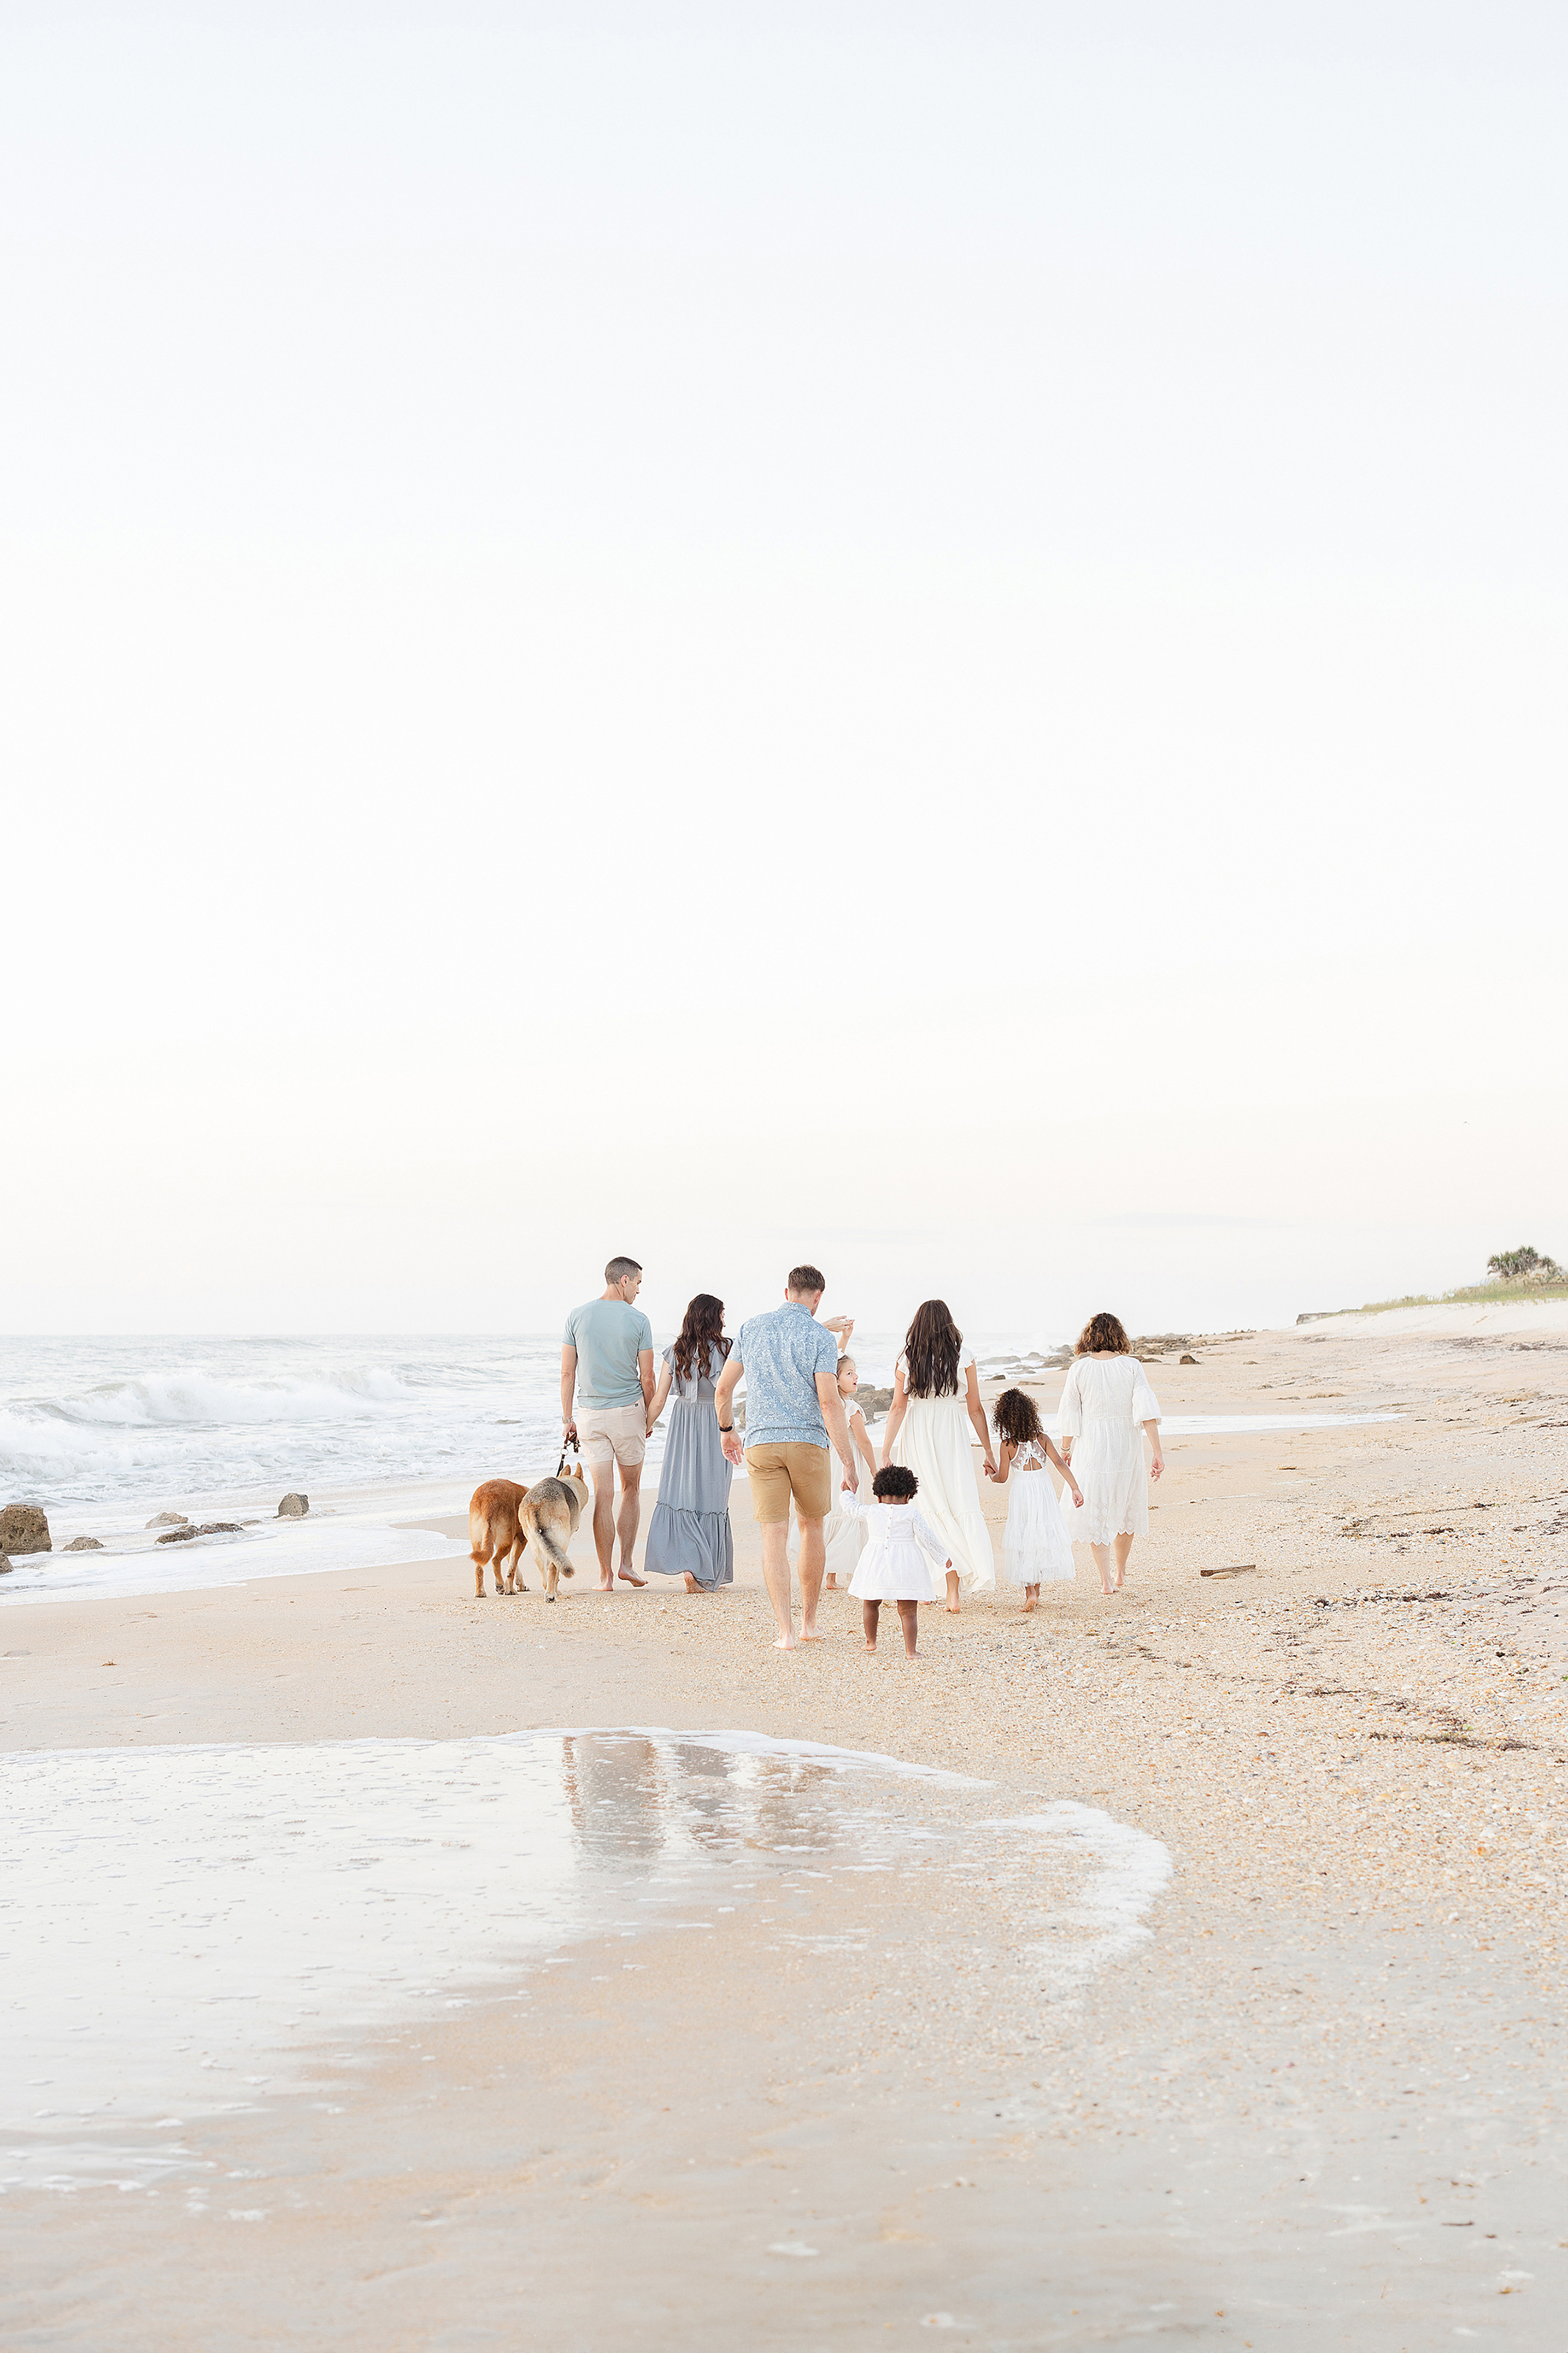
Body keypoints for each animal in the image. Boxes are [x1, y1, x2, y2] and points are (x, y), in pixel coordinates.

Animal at [521, 1468, 587, 1600]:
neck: (568, 1483)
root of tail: (537, 1505)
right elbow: (556, 1573)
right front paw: (556, 1591)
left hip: (535, 1546)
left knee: (544, 1574)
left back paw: (548, 1591)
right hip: (562, 1542)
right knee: (553, 1567)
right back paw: (551, 1595)